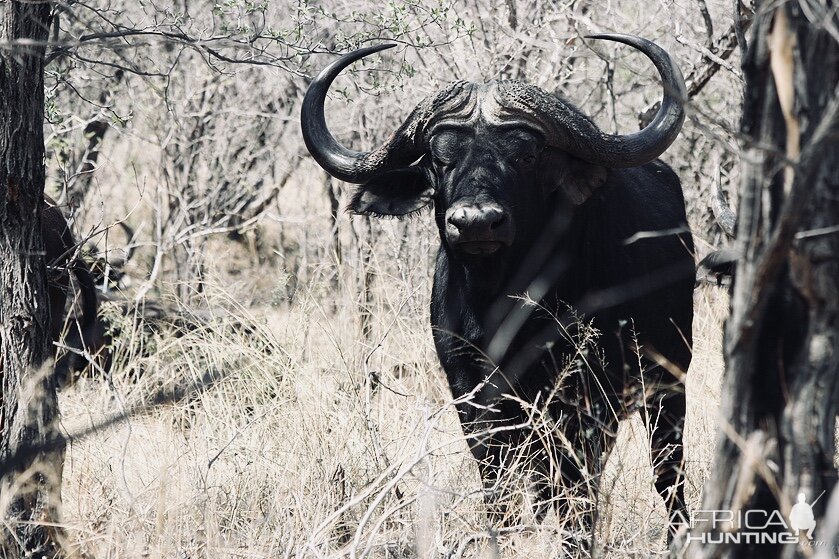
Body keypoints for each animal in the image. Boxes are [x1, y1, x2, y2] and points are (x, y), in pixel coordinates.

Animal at [302, 36, 696, 540]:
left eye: (525, 156)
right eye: (439, 159)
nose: (475, 222)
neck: (498, 303)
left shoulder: (583, 403)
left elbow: (576, 493)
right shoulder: (471, 397)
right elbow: (499, 486)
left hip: (668, 386)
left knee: (666, 476)